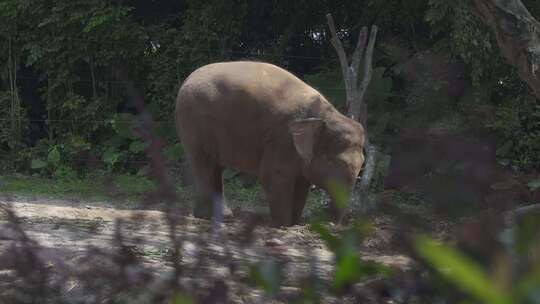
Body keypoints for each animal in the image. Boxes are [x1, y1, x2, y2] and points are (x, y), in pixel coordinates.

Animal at [175, 61, 364, 226]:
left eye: (362, 163)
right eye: (333, 162)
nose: (329, 223)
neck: (325, 116)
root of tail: (188, 78)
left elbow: (301, 183)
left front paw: (294, 223)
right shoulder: (282, 138)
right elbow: (273, 174)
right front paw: (282, 225)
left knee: (216, 167)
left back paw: (222, 216)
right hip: (193, 124)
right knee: (204, 165)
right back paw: (206, 217)